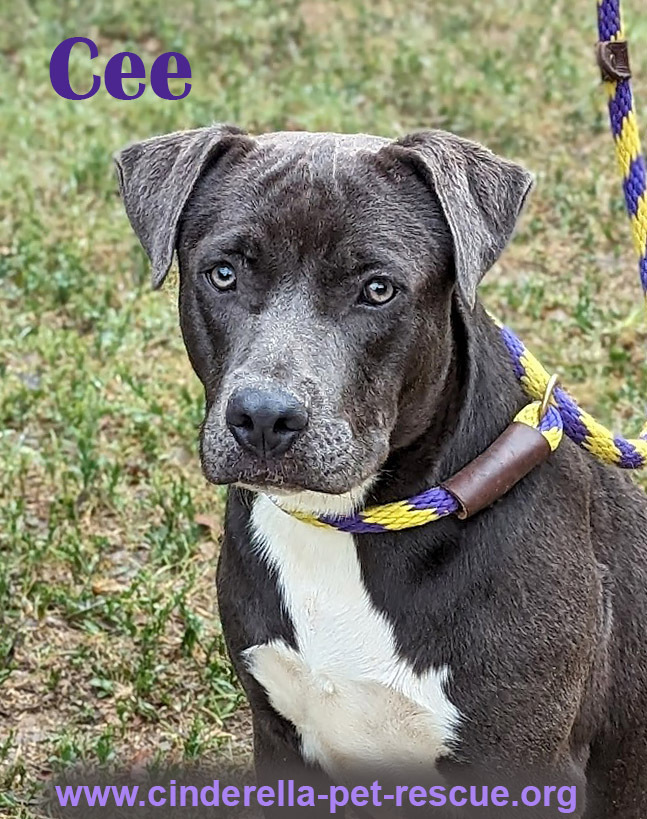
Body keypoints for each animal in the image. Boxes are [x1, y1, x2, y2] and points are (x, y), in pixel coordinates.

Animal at [114, 125, 647, 816]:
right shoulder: (281, 741)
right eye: (223, 274)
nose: (264, 417)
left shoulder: (520, 764)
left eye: (377, 289)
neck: (343, 530)